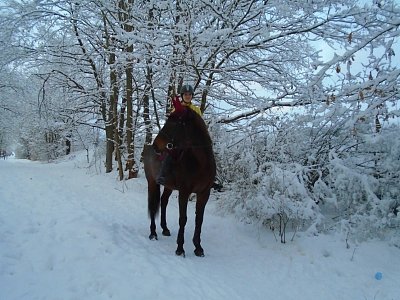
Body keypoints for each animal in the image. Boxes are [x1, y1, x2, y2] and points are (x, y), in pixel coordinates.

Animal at [141, 100, 216, 255]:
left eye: (176, 122)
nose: (156, 145)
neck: (200, 163)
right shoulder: (184, 192)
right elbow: (183, 219)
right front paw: (180, 248)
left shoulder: (204, 193)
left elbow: (199, 219)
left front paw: (198, 247)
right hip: (152, 183)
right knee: (153, 205)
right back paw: (153, 233)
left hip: (168, 186)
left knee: (163, 202)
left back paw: (164, 228)